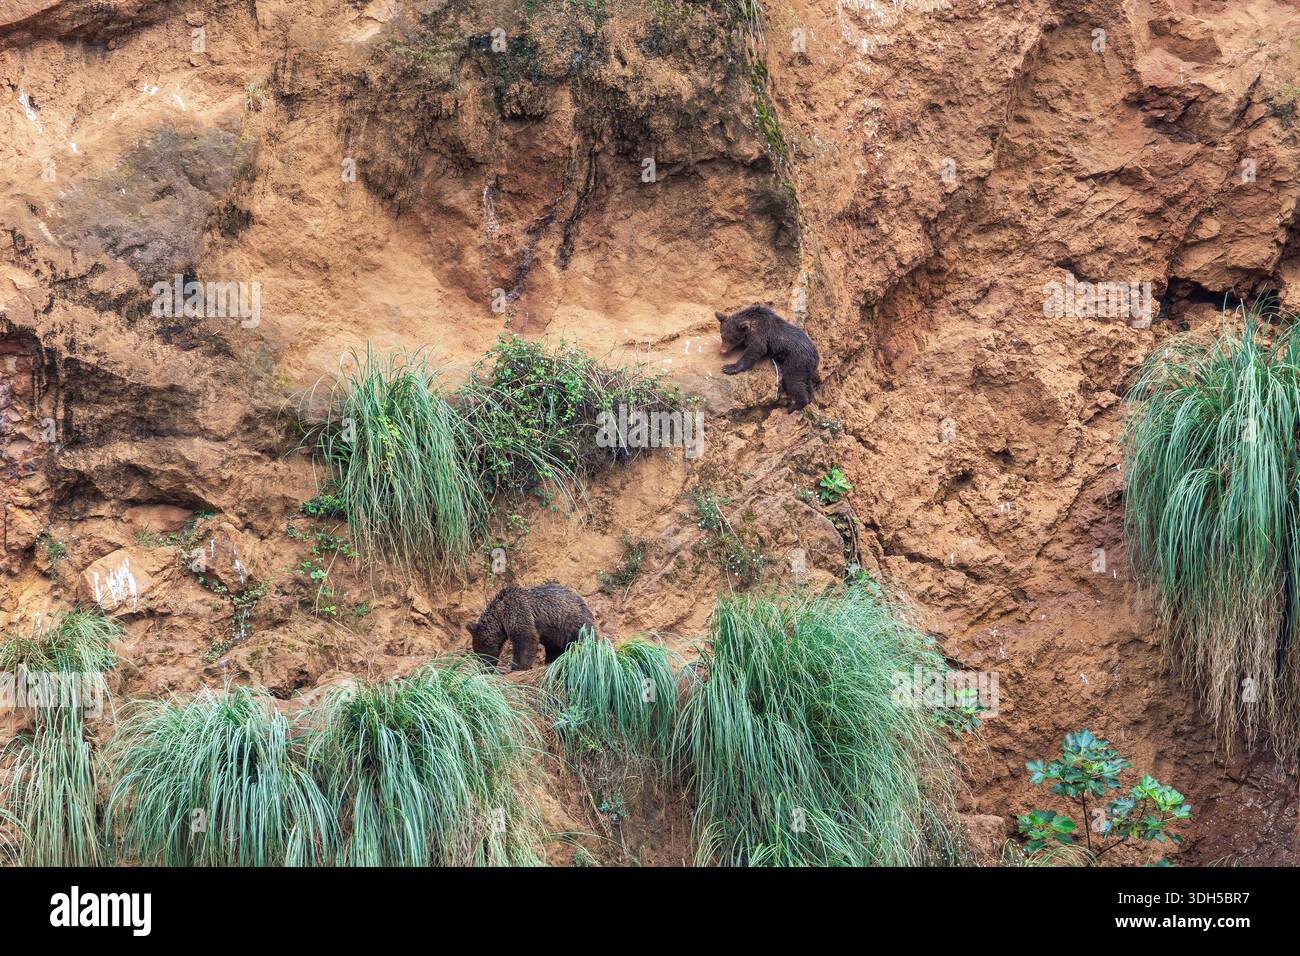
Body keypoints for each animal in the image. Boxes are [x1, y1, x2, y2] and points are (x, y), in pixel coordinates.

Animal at [464, 583, 595, 671]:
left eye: (479, 653)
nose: (484, 669)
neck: (500, 616)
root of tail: (583, 600)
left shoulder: (517, 611)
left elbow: (525, 639)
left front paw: (517, 666)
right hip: (557, 630)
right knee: (554, 646)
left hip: (572, 620)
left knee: (585, 637)